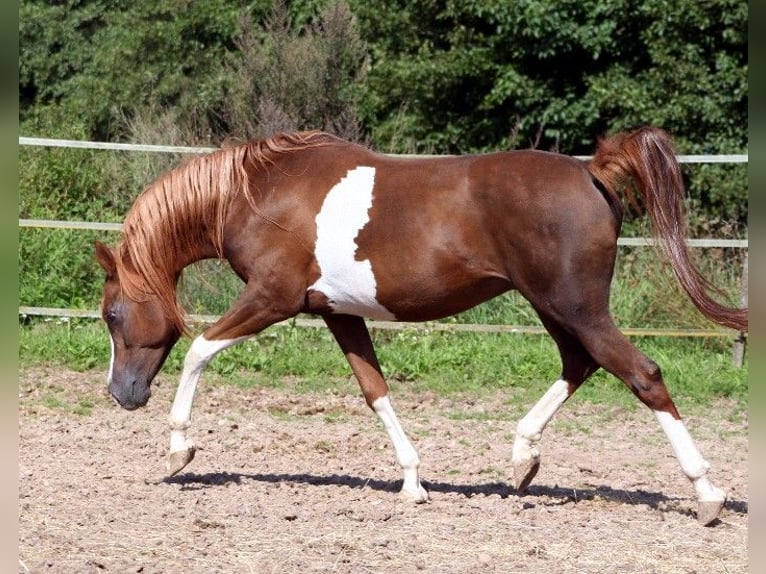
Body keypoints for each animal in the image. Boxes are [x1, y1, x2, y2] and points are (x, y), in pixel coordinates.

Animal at [95, 128, 747, 525]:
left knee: (642, 373)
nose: (121, 394)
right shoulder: (338, 312)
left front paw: (179, 450)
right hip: (556, 308)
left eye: (111, 314)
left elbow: (200, 349)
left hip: (578, 307)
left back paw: (708, 495)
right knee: (579, 364)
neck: (256, 195)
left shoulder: (271, 298)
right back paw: (522, 460)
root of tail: (593, 172)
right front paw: (412, 482)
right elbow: (375, 391)